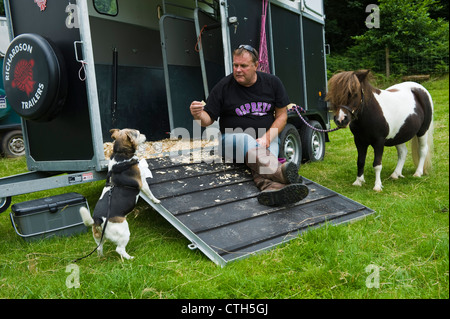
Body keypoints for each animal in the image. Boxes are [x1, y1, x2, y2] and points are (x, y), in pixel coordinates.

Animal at [79, 129, 160, 262]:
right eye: (138, 134)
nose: (145, 135)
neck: (120, 154)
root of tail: (97, 220)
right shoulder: (143, 183)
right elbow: (150, 193)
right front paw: (156, 200)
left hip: (98, 238)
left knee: (99, 249)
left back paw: (102, 259)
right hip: (124, 232)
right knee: (120, 249)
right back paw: (130, 258)